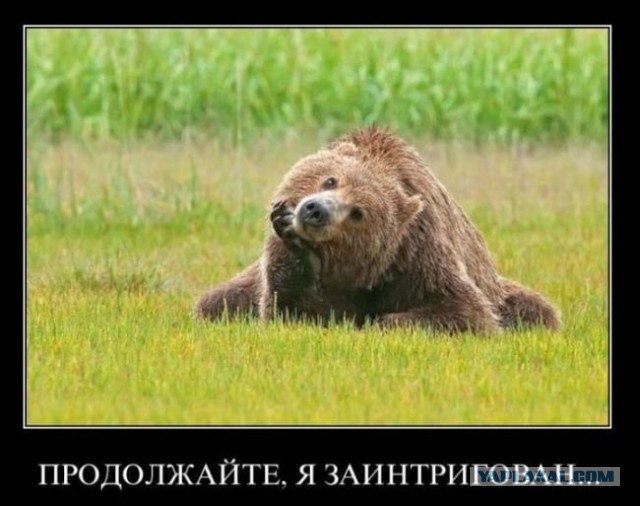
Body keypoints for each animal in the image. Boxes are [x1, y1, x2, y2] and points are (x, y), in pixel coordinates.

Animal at [196, 126, 560, 334]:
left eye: (358, 213)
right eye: (331, 180)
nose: (315, 210)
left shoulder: (417, 254)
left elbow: (466, 311)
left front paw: (381, 321)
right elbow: (287, 311)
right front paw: (296, 245)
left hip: (502, 291)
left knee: (538, 310)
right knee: (214, 301)